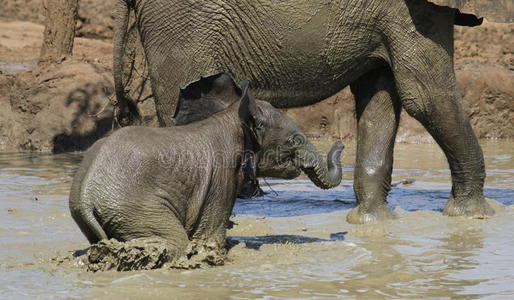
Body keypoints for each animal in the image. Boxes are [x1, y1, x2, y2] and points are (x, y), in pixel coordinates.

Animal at [67, 74, 340, 262]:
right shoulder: (222, 175)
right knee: (174, 240)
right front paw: (215, 254)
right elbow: (210, 235)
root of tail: (85, 195)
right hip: (137, 208)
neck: (232, 118)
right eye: (295, 141)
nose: (340, 143)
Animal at [113, 0, 512, 224]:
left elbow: (381, 97)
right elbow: (426, 95)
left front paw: (374, 222)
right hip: (183, 28)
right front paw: (476, 214)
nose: (337, 143)